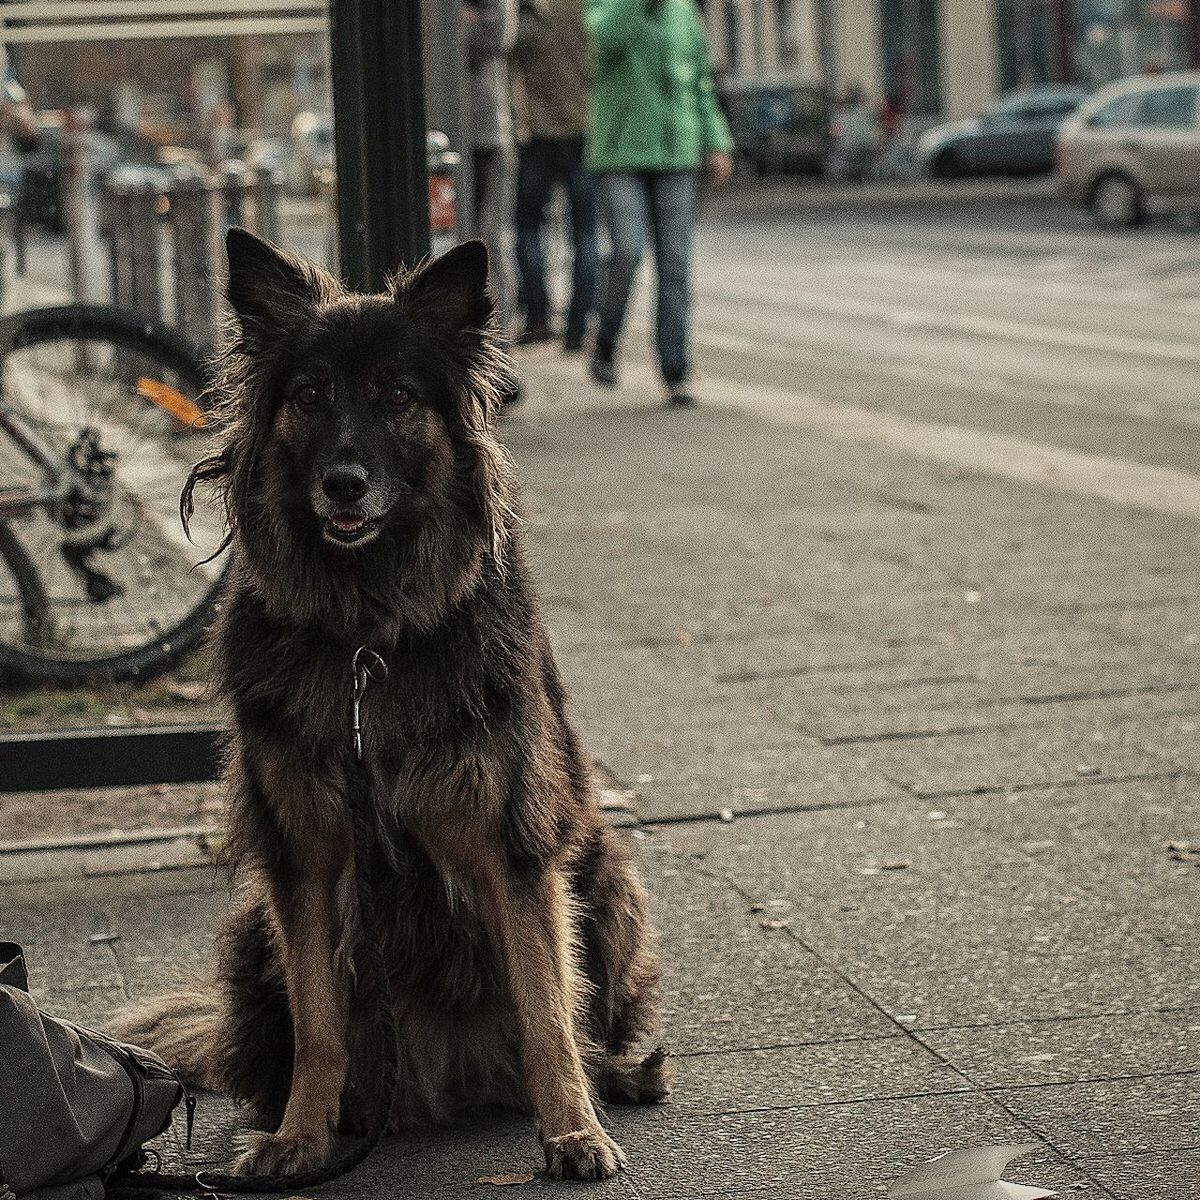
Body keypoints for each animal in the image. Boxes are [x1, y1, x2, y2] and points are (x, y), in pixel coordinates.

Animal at [113, 229, 672, 1176]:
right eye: (310, 394)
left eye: (399, 397)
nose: (343, 482)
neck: (368, 637)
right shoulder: (302, 857)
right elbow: (320, 1026)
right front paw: (299, 1135)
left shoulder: (513, 848)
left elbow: (547, 1010)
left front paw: (573, 1130)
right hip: (251, 929)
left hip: (607, 877)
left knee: (592, 1019)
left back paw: (625, 1078)